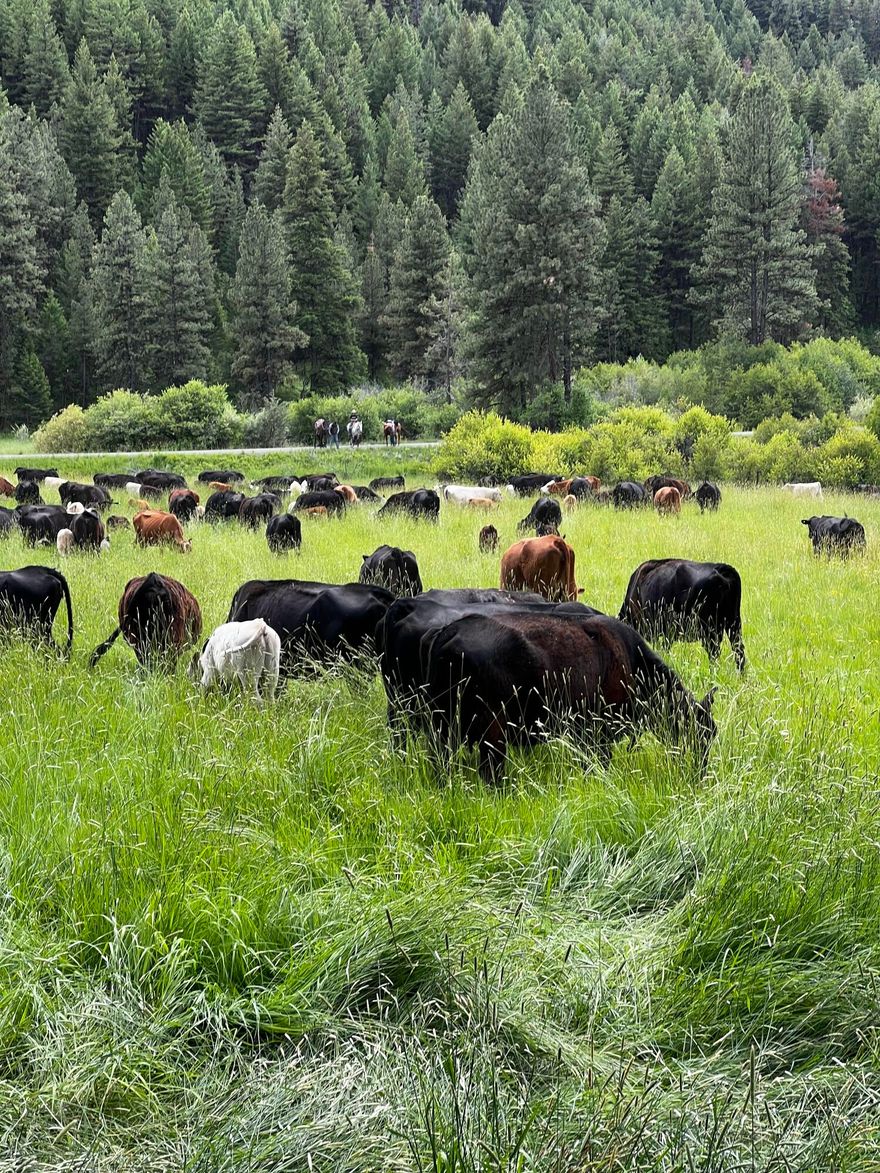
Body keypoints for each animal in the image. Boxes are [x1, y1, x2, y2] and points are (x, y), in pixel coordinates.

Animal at [421, 611, 716, 780]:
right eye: (701, 732)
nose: (700, 775)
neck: (632, 662)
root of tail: (449, 632)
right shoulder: (597, 733)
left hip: (442, 729)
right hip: (492, 732)